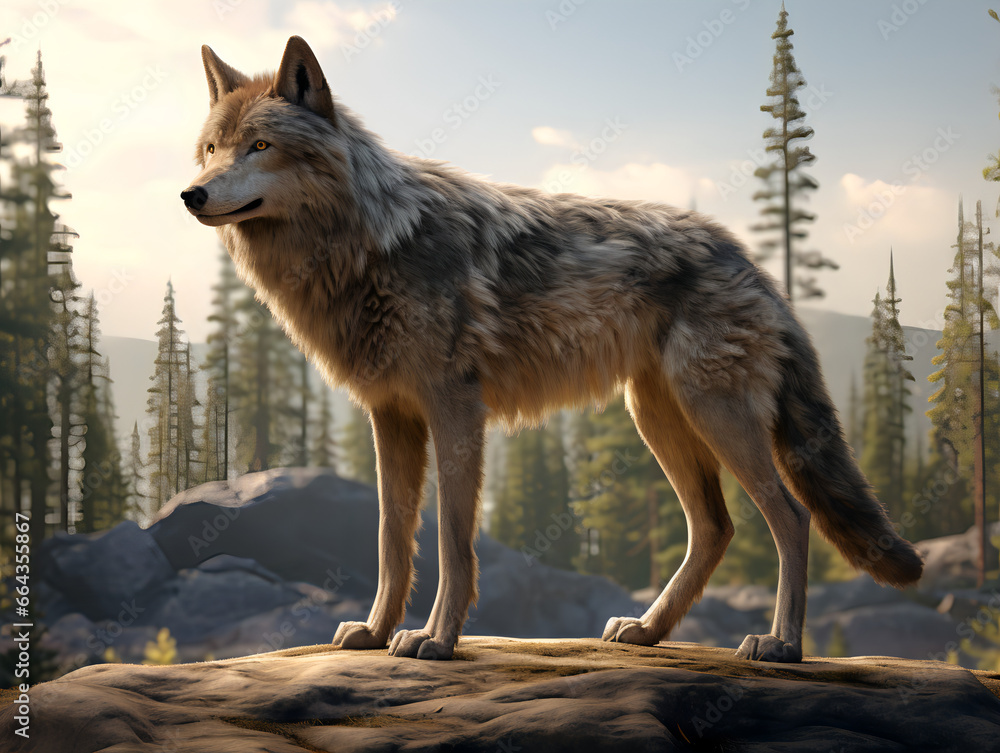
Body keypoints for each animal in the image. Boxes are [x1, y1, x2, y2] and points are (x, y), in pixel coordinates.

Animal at [181, 36, 923, 662]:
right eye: (212, 148)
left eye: (259, 146)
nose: (191, 194)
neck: (369, 242)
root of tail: (749, 259)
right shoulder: (390, 415)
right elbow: (393, 539)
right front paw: (375, 630)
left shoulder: (455, 408)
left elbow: (453, 540)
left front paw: (436, 638)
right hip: (657, 420)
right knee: (715, 528)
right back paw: (647, 629)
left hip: (717, 418)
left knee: (790, 517)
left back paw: (782, 644)